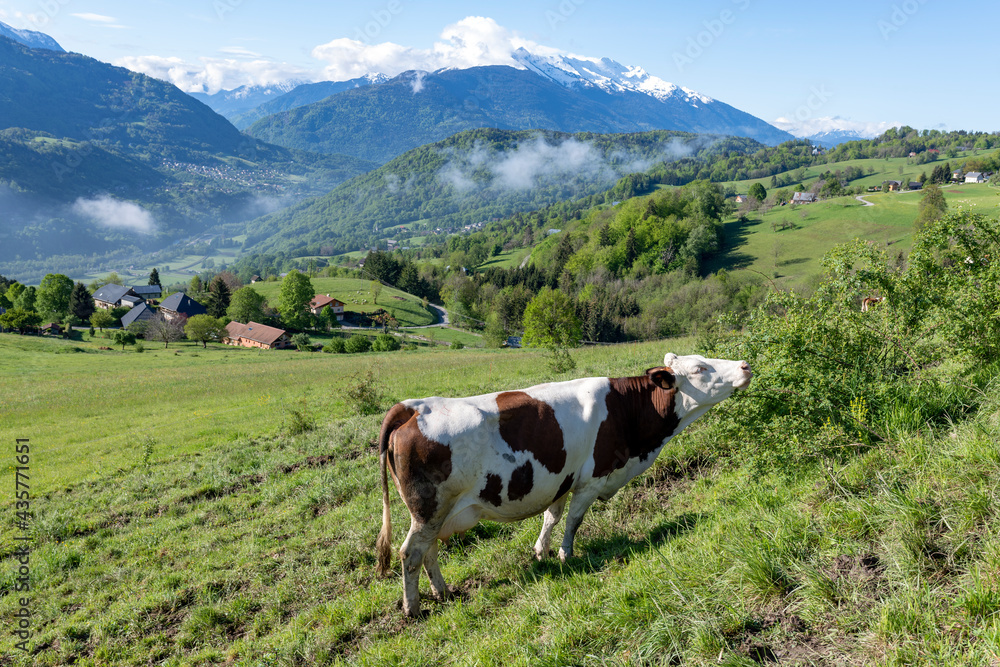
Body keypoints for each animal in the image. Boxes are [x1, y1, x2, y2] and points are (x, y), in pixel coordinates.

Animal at [376, 352, 752, 620]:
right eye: (700, 368)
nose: (745, 365)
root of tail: (413, 407)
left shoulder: (561, 480)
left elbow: (551, 517)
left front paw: (541, 551)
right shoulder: (591, 479)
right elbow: (573, 520)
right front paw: (565, 554)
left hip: (436, 513)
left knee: (428, 551)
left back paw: (443, 592)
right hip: (429, 508)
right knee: (411, 553)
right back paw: (413, 608)